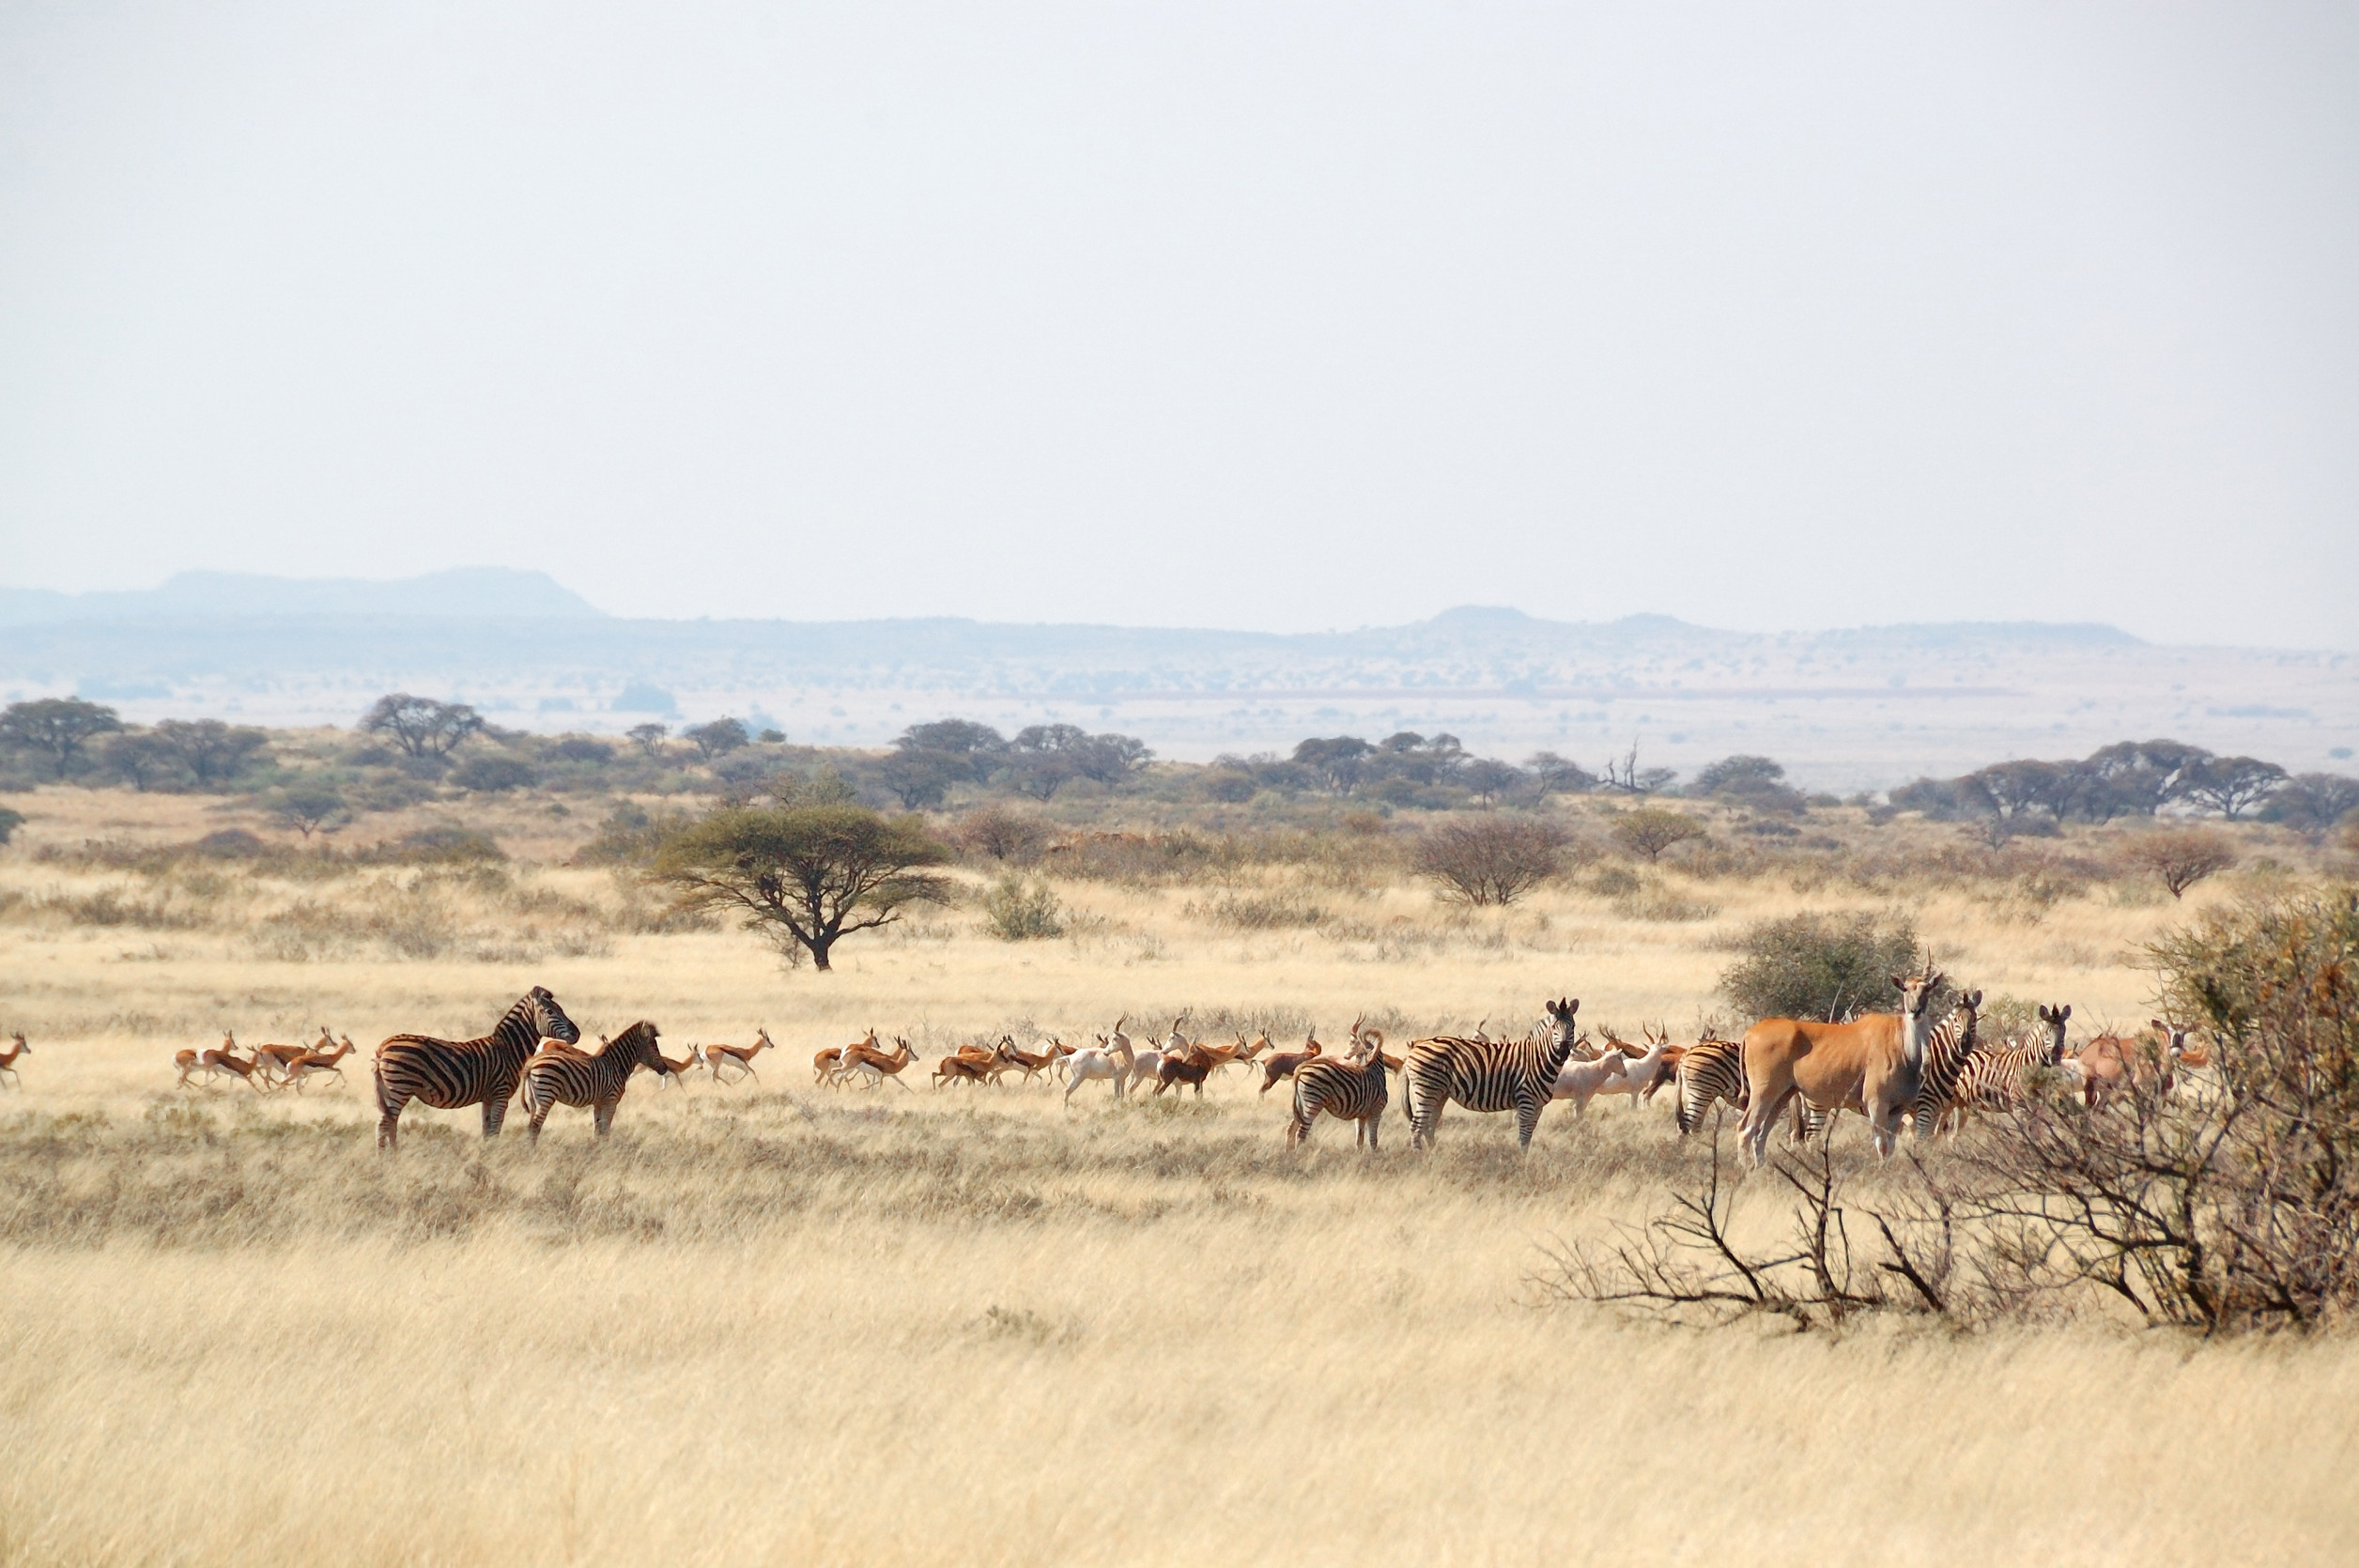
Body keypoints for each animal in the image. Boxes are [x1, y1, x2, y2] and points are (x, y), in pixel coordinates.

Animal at [377, 990, 584, 1150]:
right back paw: (385, 1162)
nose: (577, 1033)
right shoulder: (501, 1094)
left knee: (390, 1124)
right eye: (550, 1011)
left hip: (391, 1091)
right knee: (384, 1126)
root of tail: (383, 1046)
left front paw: (486, 1154)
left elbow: (487, 1131)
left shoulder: (488, 1097)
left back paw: (394, 1155)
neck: (508, 1049)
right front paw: (494, 1156)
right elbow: (495, 1129)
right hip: (399, 1088)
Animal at [512, 1013, 670, 1136]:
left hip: (534, 1098)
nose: (665, 1068)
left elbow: (598, 1130)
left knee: (530, 1126)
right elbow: (606, 1130)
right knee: (535, 1126)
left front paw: (596, 1150)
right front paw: (606, 1152)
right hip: (546, 1093)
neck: (616, 1064)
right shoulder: (611, 1100)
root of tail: (532, 1063)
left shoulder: (599, 1102)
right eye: (654, 1047)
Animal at [1396, 990, 1585, 1150]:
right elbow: (1524, 1137)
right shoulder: (1526, 1101)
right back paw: (1420, 1157)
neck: (1539, 1058)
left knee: (1429, 1126)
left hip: (1440, 1093)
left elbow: (1528, 1137)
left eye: (1573, 1027)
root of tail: (1415, 1047)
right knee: (1416, 1126)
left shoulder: (1538, 1106)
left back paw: (1433, 1155)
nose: (1563, 1051)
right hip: (1427, 1089)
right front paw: (1522, 1164)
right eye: (1554, 1027)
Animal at [1735, 952, 1952, 1160]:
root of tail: (1750, 1033)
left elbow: (1890, 1146)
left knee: (1761, 1134)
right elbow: (1881, 1145)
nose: (1915, 1011)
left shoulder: (1897, 1109)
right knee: (1745, 1129)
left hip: (1782, 1095)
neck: (1903, 1046)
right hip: (1764, 1092)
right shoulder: (1876, 1103)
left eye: (1926, 989)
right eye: (1906, 989)